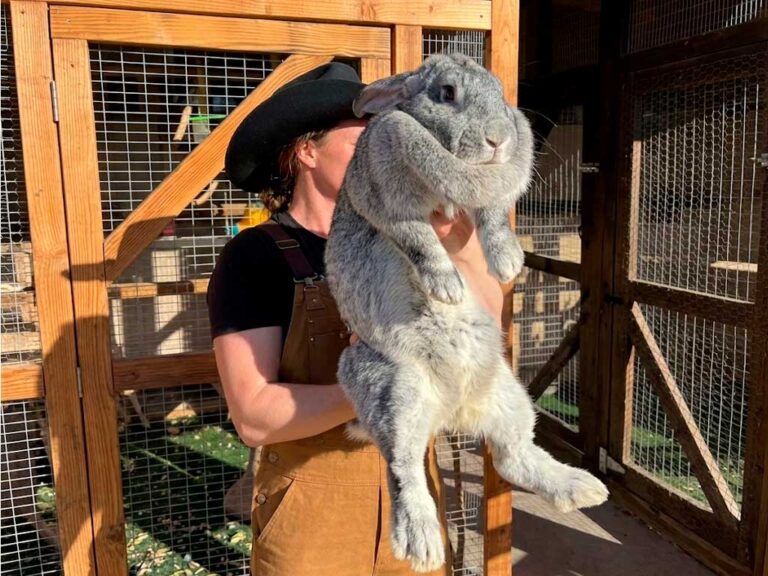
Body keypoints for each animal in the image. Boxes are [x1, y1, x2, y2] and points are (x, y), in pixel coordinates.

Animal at [324, 53, 608, 573]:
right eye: (447, 93)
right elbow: (420, 242)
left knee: (515, 457)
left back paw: (582, 488)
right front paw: (448, 288)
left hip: (511, 398)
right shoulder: (389, 205)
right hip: (397, 391)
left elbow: (494, 220)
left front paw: (508, 262)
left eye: (499, 92)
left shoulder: (489, 207)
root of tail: (453, 411)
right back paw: (420, 542)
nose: (499, 139)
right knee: (403, 467)